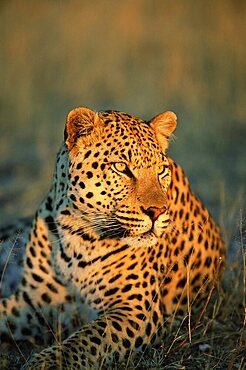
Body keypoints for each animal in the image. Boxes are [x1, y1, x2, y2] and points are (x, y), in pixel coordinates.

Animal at [0, 106, 225, 368]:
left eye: (161, 170)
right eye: (121, 167)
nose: (157, 211)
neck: (77, 231)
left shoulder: (135, 309)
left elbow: (86, 340)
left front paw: (46, 362)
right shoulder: (34, 302)